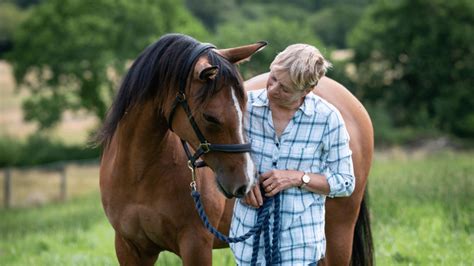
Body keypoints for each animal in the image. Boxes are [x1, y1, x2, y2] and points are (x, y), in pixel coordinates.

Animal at [97, 33, 266, 266]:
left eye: (245, 106)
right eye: (210, 117)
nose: (246, 182)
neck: (139, 174)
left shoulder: (196, 245)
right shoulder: (129, 248)